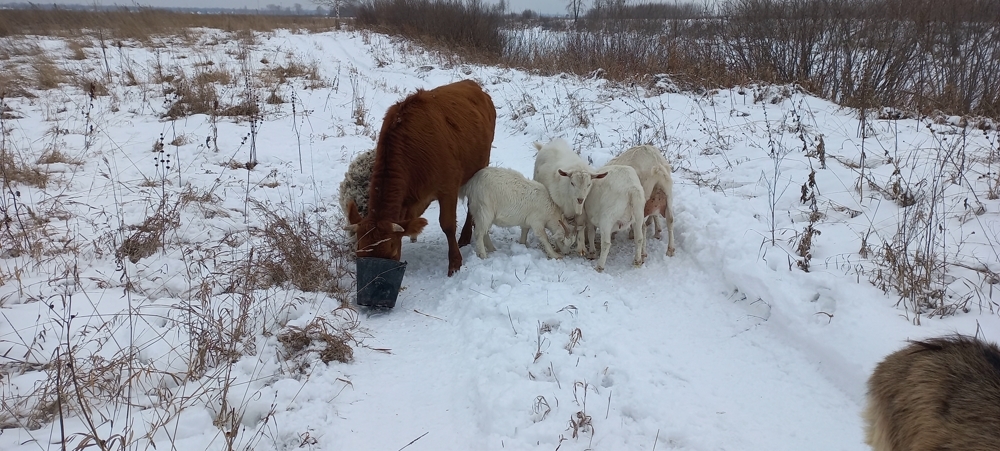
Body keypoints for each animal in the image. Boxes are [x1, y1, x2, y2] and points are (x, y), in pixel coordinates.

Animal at [346, 81, 498, 278]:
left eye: (392, 252)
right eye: (359, 253)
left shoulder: (448, 187)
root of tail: (472, 84)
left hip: (480, 164)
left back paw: (465, 237)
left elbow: (447, 225)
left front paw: (455, 263)